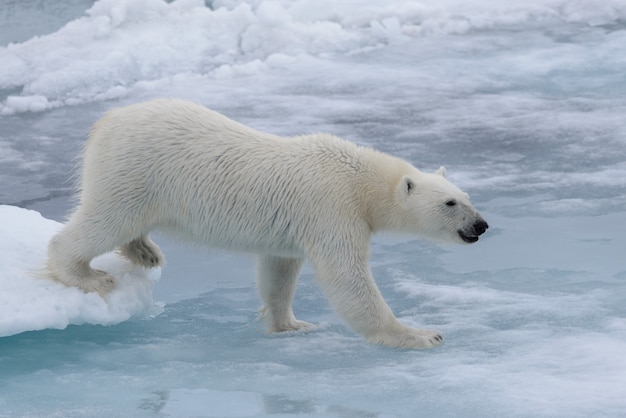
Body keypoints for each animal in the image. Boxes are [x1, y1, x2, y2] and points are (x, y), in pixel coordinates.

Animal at [48, 99, 488, 350]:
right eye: (450, 203)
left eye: (468, 195)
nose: (482, 225)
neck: (360, 178)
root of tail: (106, 120)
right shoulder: (332, 206)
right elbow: (347, 277)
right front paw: (420, 335)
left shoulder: (292, 229)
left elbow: (279, 270)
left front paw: (290, 325)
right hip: (135, 170)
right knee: (106, 218)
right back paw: (87, 274)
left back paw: (145, 251)